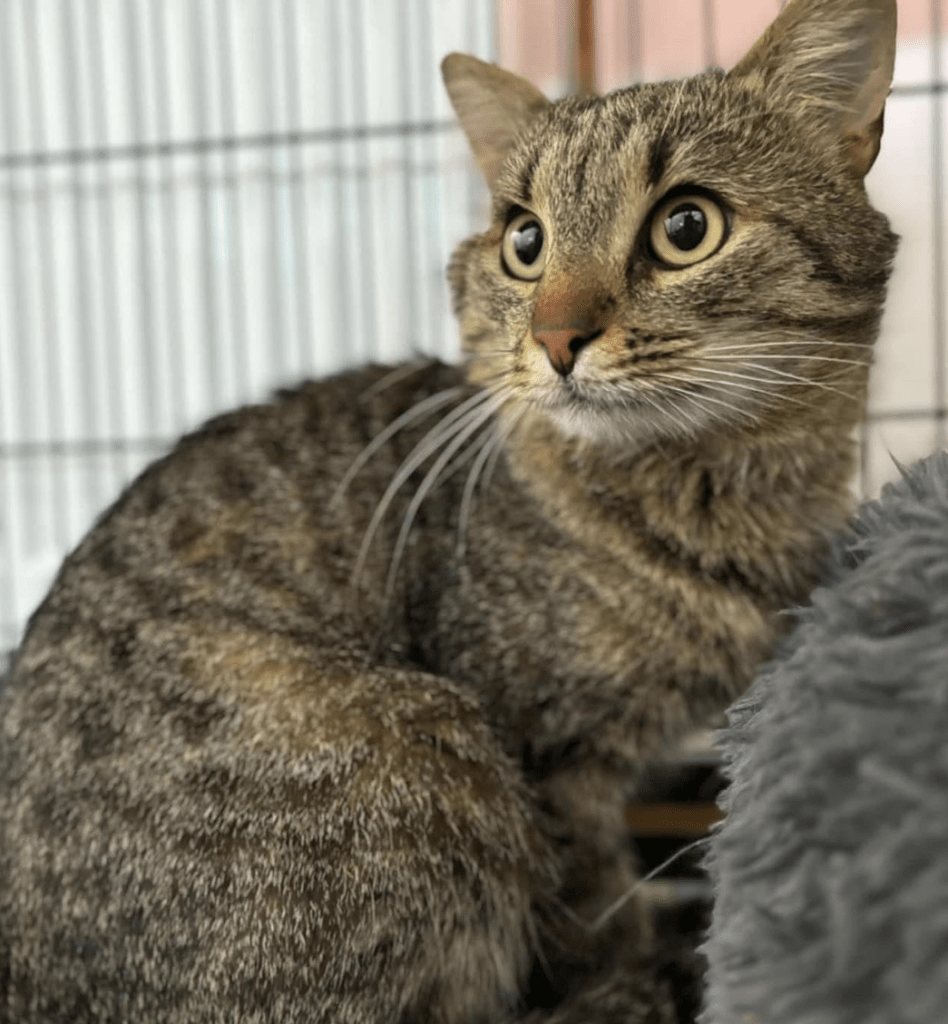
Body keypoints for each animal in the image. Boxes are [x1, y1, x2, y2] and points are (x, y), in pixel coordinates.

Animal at [0, 0, 896, 1019]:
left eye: (686, 226)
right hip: (424, 751)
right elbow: (597, 917)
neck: (713, 499)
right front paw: (638, 965)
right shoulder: (550, 754)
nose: (556, 337)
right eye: (525, 242)